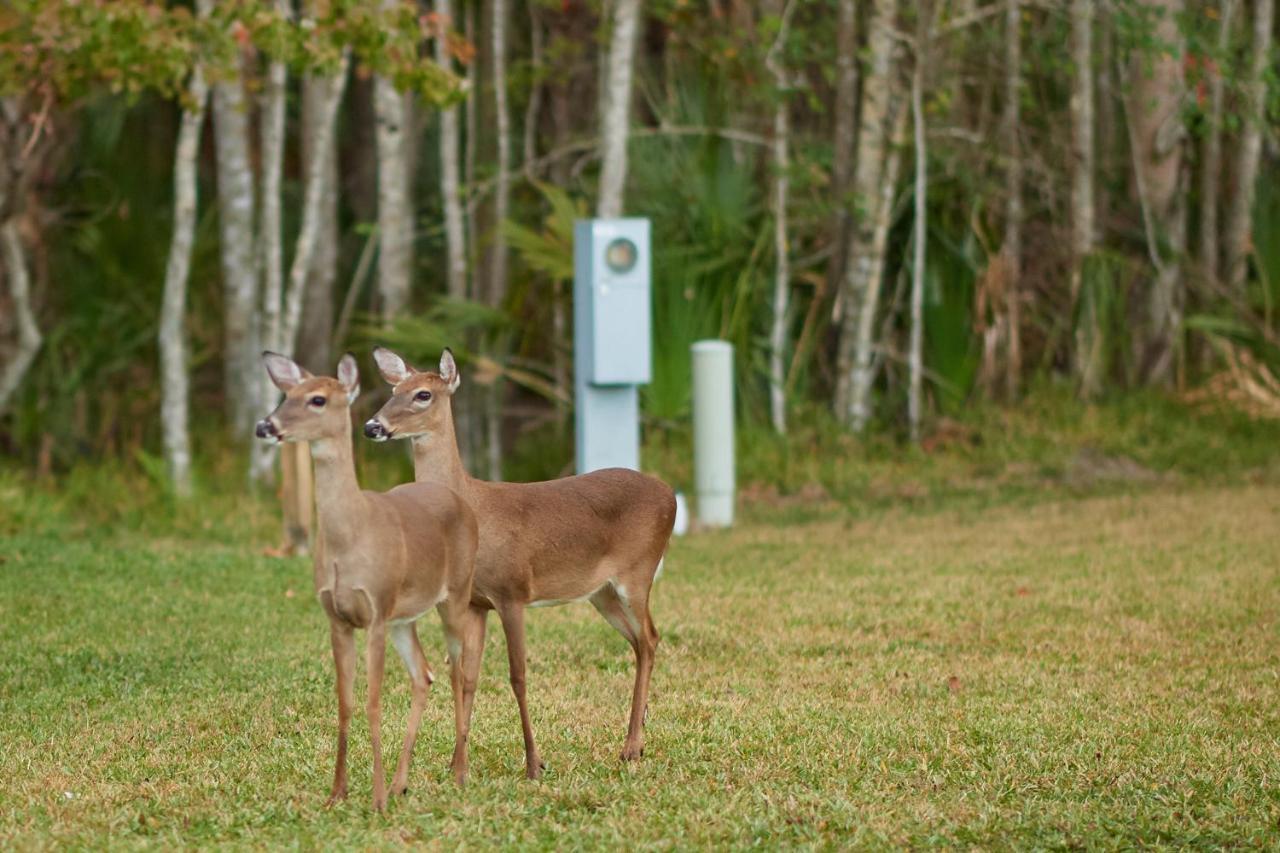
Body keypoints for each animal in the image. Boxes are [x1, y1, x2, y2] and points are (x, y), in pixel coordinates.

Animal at [254, 350, 483, 804]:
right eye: (286, 394)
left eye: (318, 399)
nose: (264, 426)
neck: (351, 538)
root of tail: (457, 499)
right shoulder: (338, 618)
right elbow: (345, 702)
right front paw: (337, 794)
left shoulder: (375, 610)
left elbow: (374, 702)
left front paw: (374, 799)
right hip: (404, 617)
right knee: (424, 675)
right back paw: (401, 782)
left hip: (455, 594)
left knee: (457, 670)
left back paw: (459, 773)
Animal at [363, 343, 680, 773]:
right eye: (393, 389)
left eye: (423, 394)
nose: (372, 426)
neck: (474, 510)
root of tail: (671, 494)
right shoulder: (476, 602)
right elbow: (467, 676)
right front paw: (456, 764)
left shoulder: (512, 590)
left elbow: (518, 675)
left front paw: (533, 763)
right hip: (602, 592)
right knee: (643, 641)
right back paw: (637, 739)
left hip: (638, 571)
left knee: (648, 637)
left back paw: (630, 747)